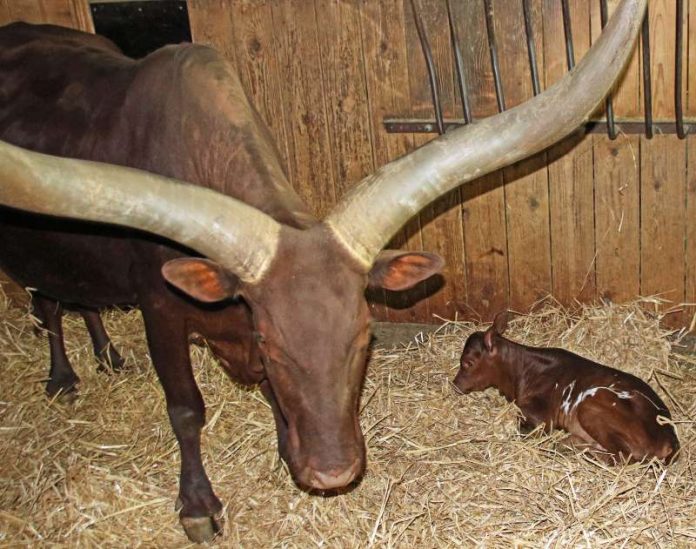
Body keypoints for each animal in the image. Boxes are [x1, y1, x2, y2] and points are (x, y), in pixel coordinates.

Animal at [0, 0, 648, 540]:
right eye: (271, 341)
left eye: (364, 338)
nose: (335, 473)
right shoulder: (160, 308)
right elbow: (186, 409)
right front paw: (199, 507)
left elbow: (272, 398)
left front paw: (291, 453)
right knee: (46, 302)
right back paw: (63, 376)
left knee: (76, 299)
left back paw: (107, 353)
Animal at [452, 312, 680, 462]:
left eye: (468, 362)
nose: (455, 385)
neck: (522, 372)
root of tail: (670, 438)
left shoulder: (542, 417)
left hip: (592, 403)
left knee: (621, 457)